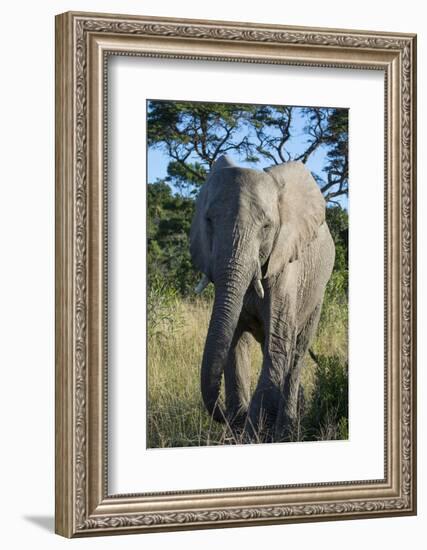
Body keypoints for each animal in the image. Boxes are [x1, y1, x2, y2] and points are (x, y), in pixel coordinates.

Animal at [190, 155, 334, 444]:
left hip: (317, 294)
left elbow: (277, 347)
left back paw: (287, 432)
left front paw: (251, 437)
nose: (222, 414)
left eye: (267, 227)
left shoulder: (285, 268)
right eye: (208, 220)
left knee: (296, 354)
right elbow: (233, 344)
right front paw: (238, 430)